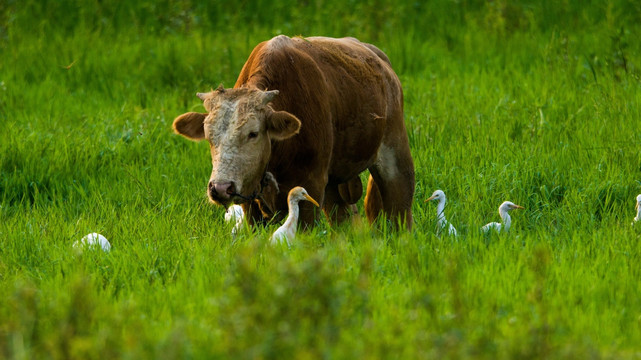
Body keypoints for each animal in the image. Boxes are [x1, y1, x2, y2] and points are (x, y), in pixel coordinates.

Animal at [172, 35, 416, 229]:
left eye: (253, 133)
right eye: (209, 137)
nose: (221, 187)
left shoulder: (310, 188)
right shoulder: (250, 202)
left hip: (395, 157)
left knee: (399, 209)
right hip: (335, 185)